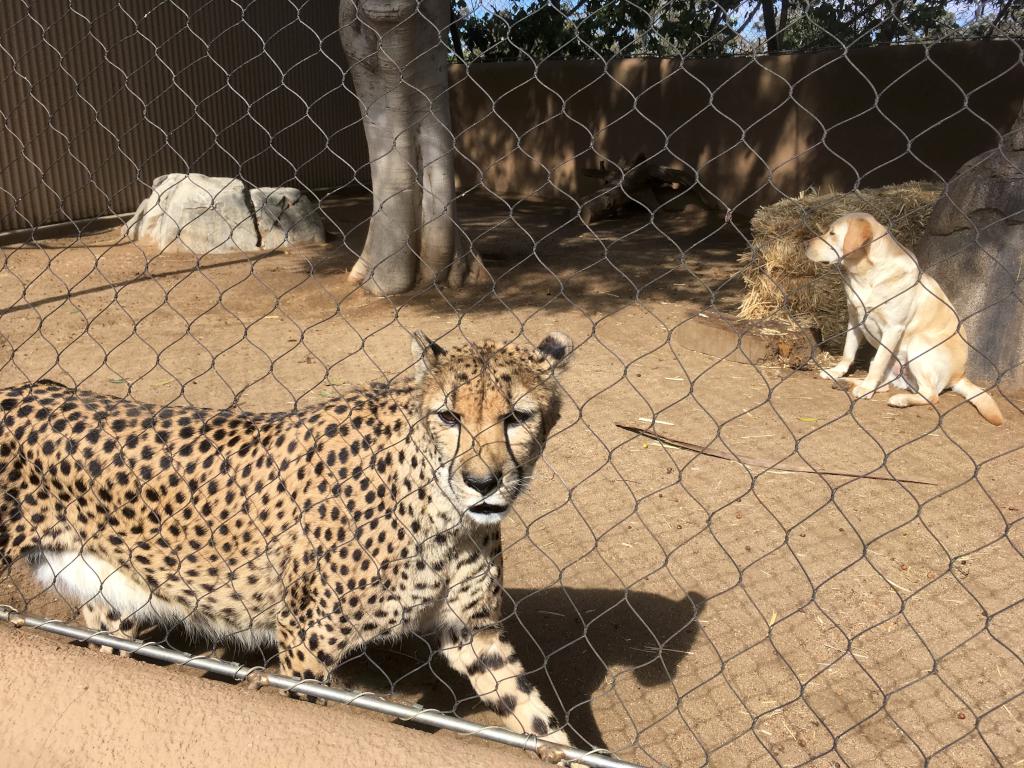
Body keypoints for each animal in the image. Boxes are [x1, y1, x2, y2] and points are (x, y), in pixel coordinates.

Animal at [0, 331, 577, 745]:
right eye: (449, 416)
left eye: (517, 417)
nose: (483, 482)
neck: (439, 502)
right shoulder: (305, 637)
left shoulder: (472, 632)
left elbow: (537, 719)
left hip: (109, 607)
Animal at [806, 211, 999, 428]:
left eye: (832, 234)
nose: (805, 244)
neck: (867, 276)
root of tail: (960, 376)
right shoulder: (855, 320)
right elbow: (848, 352)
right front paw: (837, 371)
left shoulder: (893, 328)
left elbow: (878, 363)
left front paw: (866, 388)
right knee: (885, 385)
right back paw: (847, 382)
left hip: (919, 346)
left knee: (930, 395)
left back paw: (897, 398)